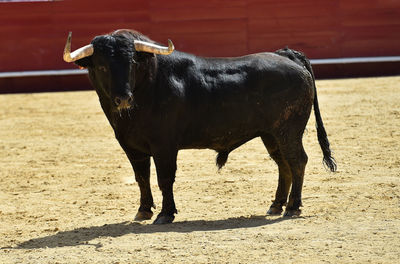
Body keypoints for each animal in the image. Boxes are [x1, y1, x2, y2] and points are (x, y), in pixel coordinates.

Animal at [65, 29, 334, 224]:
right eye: (102, 66)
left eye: (132, 62)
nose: (123, 99)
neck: (147, 86)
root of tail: (287, 55)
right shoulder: (131, 147)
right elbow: (142, 178)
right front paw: (143, 211)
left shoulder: (164, 146)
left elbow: (164, 178)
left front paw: (165, 214)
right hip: (271, 134)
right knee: (283, 165)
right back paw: (276, 205)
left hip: (288, 131)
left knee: (297, 161)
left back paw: (293, 207)